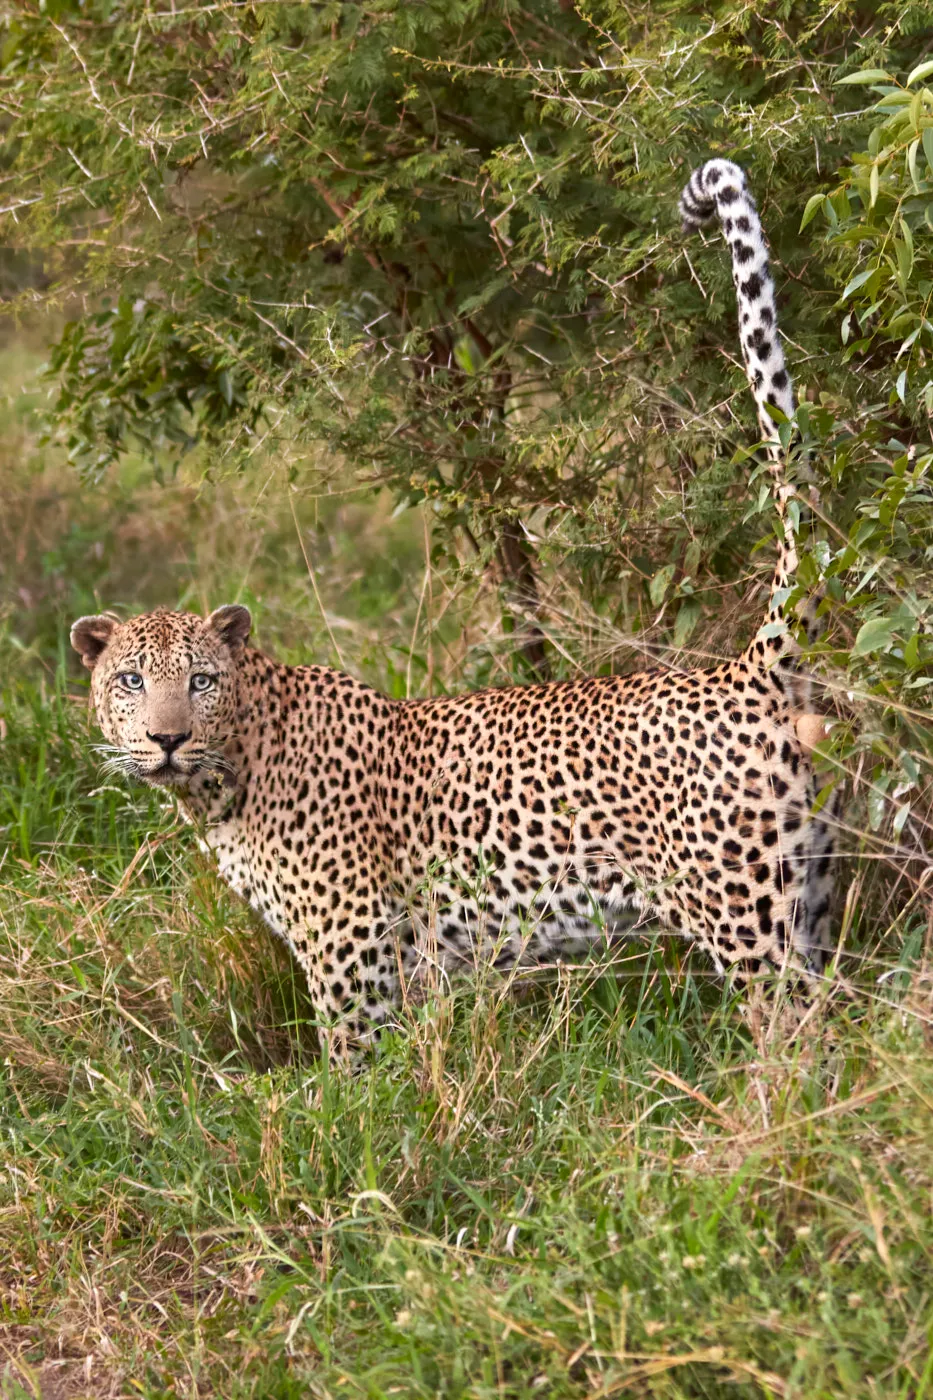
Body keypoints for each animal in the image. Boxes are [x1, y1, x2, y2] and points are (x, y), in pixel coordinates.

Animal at [71, 159, 837, 1057]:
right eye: (129, 681)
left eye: (199, 681)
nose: (165, 739)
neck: (229, 777)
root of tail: (746, 671)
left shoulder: (352, 954)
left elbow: (350, 1076)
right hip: (810, 905)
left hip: (750, 922)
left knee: (799, 1045)